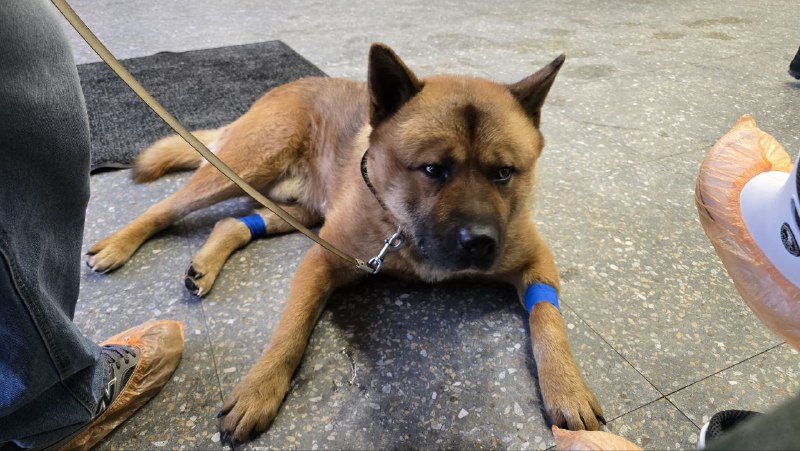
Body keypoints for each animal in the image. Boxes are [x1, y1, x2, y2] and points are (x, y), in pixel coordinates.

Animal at [86, 43, 603, 443]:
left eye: (503, 173)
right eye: (433, 169)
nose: (479, 243)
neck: (399, 222)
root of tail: (284, 88)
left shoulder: (535, 259)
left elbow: (547, 318)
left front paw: (567, 385)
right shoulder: (322, 261)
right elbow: (290, 331)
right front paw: (261, 386)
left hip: (299, 211)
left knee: (231, 224)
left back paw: (204, 264)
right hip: (242, 169)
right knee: (165, 208)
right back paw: (118, 243)